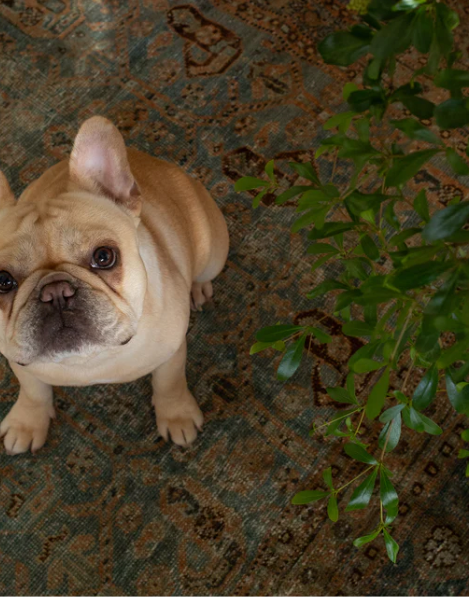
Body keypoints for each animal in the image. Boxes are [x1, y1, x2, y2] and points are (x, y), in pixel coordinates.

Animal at [0, 115, 229, 452]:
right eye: (3, 281)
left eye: (104, 256)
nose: (55, 292)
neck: (88, 360)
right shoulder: (18, 359)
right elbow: (32, 390)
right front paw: (27, 422)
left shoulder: (172, 353)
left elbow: (169, 383)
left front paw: (177, 415)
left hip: (213, 249)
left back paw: (198, 288)